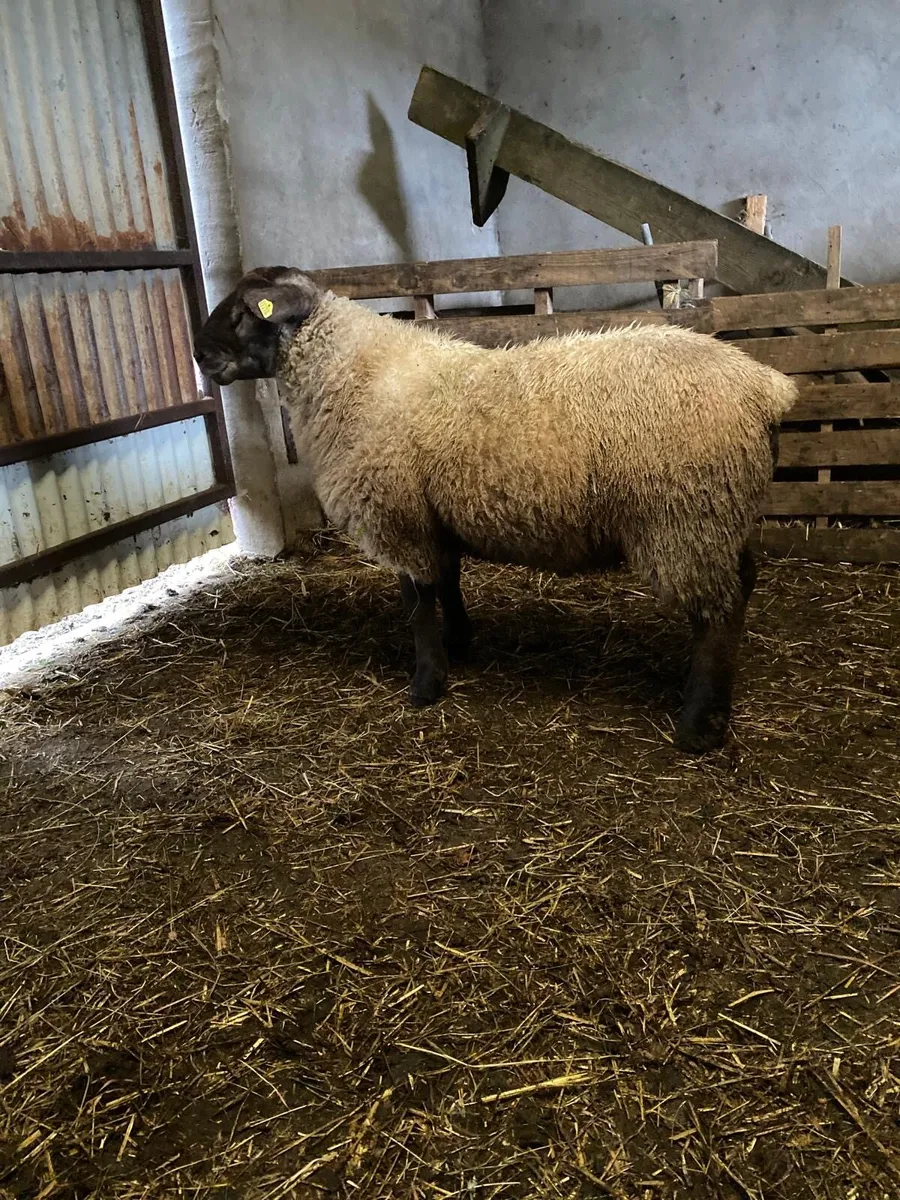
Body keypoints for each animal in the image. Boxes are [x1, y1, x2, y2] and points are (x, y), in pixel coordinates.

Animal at [194, 266, 797, 752]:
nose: (200, 354)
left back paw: (698, 726)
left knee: (717, 613)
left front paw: (426, 684)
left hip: (685, 516)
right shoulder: (432, 515)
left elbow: (419, 603)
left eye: (242, 312)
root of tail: (765, 386)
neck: (349, 374)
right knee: (742, 584)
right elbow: (448, 581)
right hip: (720, 515)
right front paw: (461, 645)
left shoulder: (397, 513)